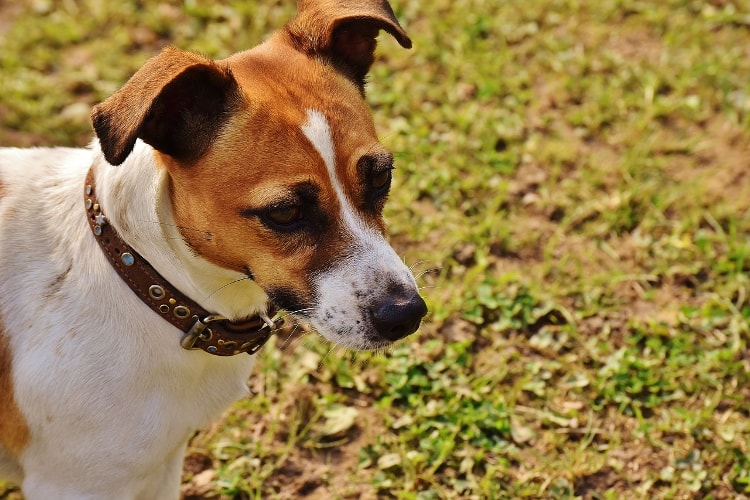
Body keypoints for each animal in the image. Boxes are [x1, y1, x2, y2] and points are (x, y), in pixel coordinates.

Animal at [0, 1, 426, 498]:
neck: (140, 276)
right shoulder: (77, 483)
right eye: (285, 212)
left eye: (381, 177)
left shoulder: (160, 465)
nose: (407, 314)